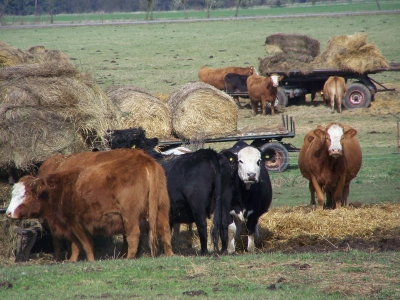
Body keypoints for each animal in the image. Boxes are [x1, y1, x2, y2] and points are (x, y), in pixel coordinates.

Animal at [5, 149, 172, 262]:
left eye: (24, 195)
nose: (8, 213)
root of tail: (144, 160)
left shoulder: (73, 223)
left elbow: (81, 243)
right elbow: (76, 244)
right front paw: (72, 260)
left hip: (129, 216)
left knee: (133, 235)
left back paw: (129, 258)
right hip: (161, 210)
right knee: (164, 231)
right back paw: (169, 254)